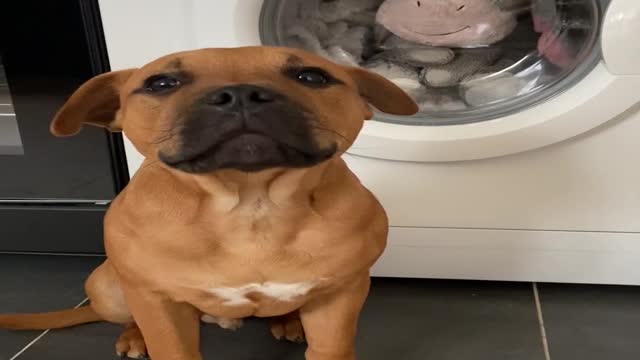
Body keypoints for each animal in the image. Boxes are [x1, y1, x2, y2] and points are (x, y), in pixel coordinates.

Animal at [0, 46, 418, 358]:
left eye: (312, 77)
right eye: (161, 83)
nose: (241, 94)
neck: (251, 203)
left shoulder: (340, 295)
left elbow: (329, 348)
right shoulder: (157, 302)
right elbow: (171, 345)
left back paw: (288, 321)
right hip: (108, 287)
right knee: (129, 314)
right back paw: (134, 337)